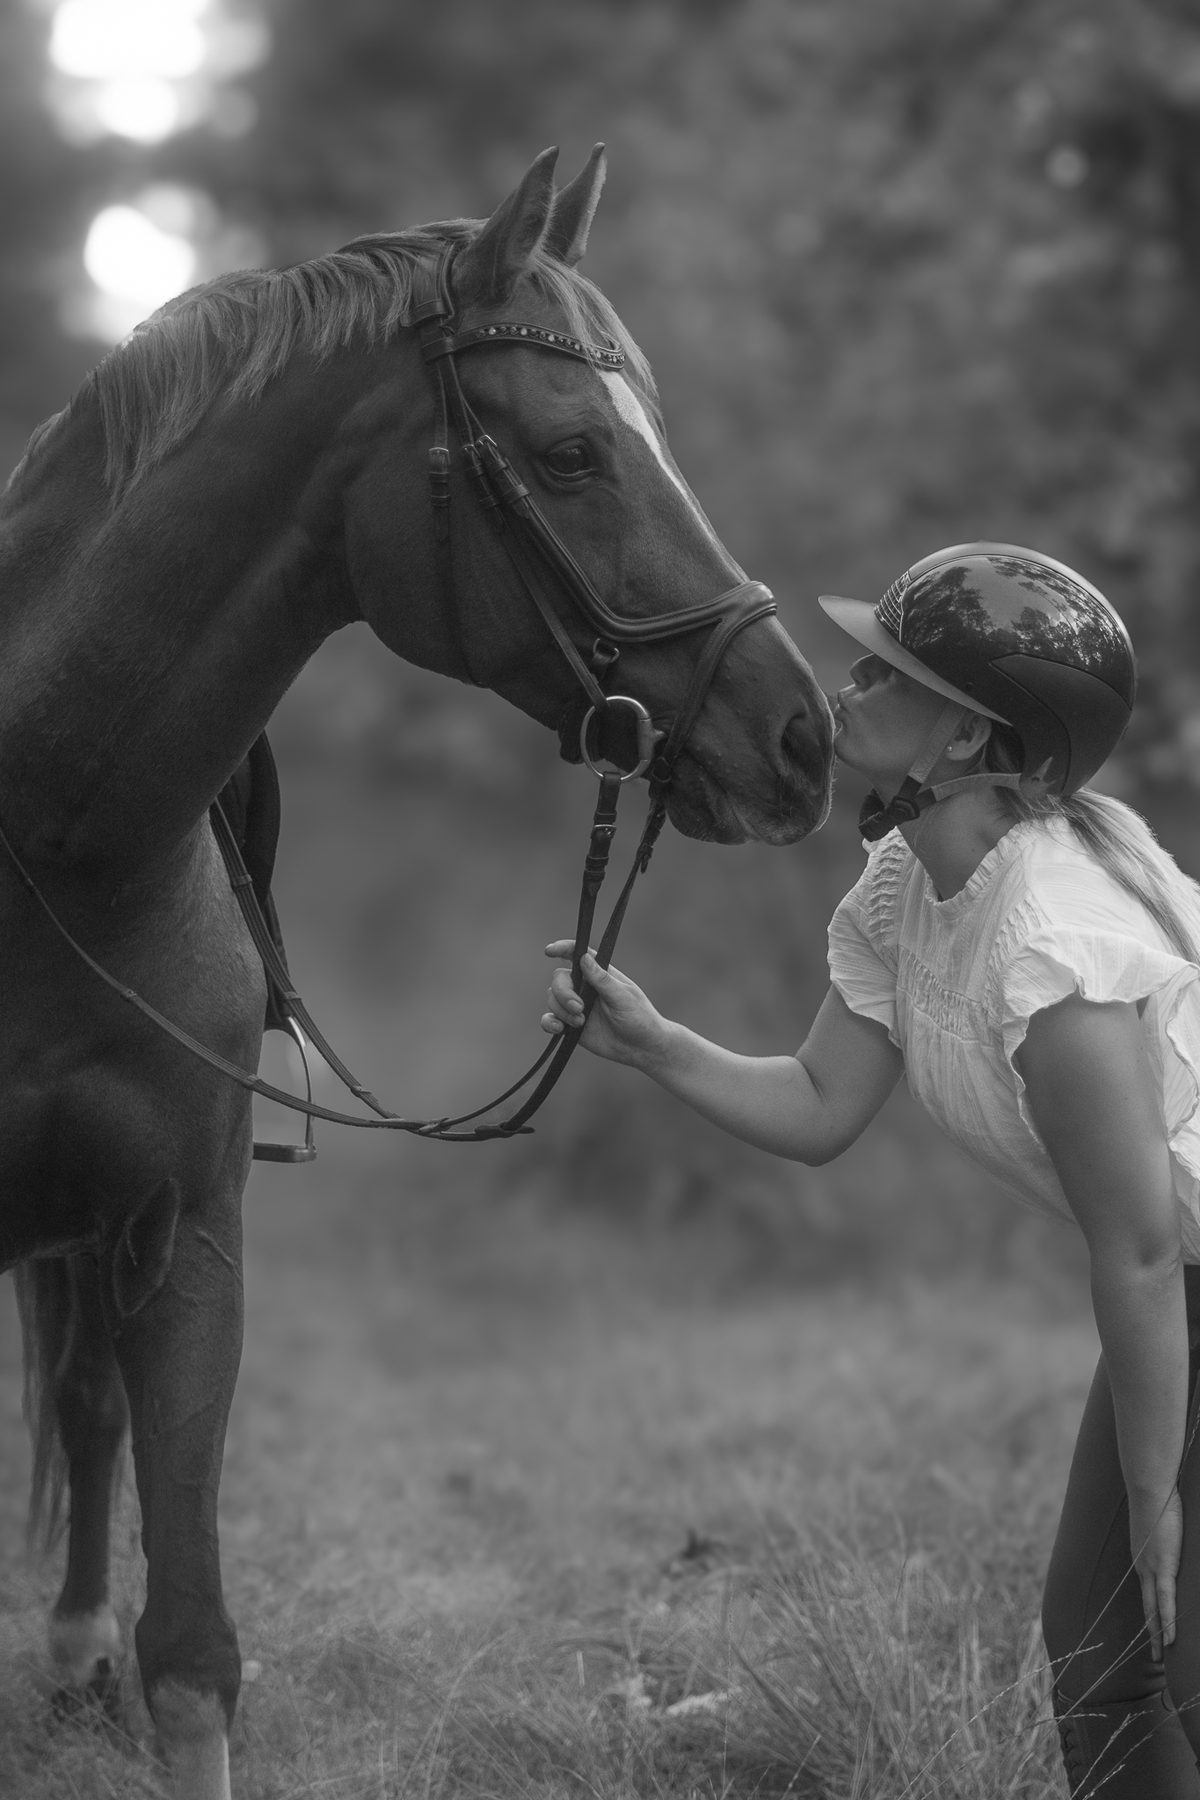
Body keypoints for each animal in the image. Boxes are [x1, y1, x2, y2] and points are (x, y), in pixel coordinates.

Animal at [0, 145, 835, 1798]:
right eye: (573, 453)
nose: (803, 735)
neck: (50, 838)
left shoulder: (184, 1239)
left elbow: (192, 1653)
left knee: (82, 1398)